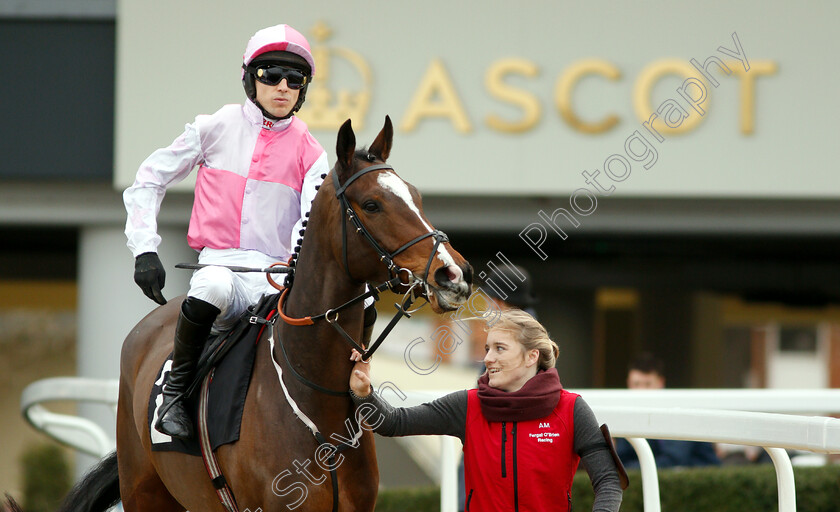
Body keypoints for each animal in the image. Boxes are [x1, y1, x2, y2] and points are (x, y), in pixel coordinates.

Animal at [14, 117, 472, 512]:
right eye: (372, 204)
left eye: (417, 196)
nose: (454, 273)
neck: (315, 400)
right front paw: (148, 267)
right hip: (145, 491)